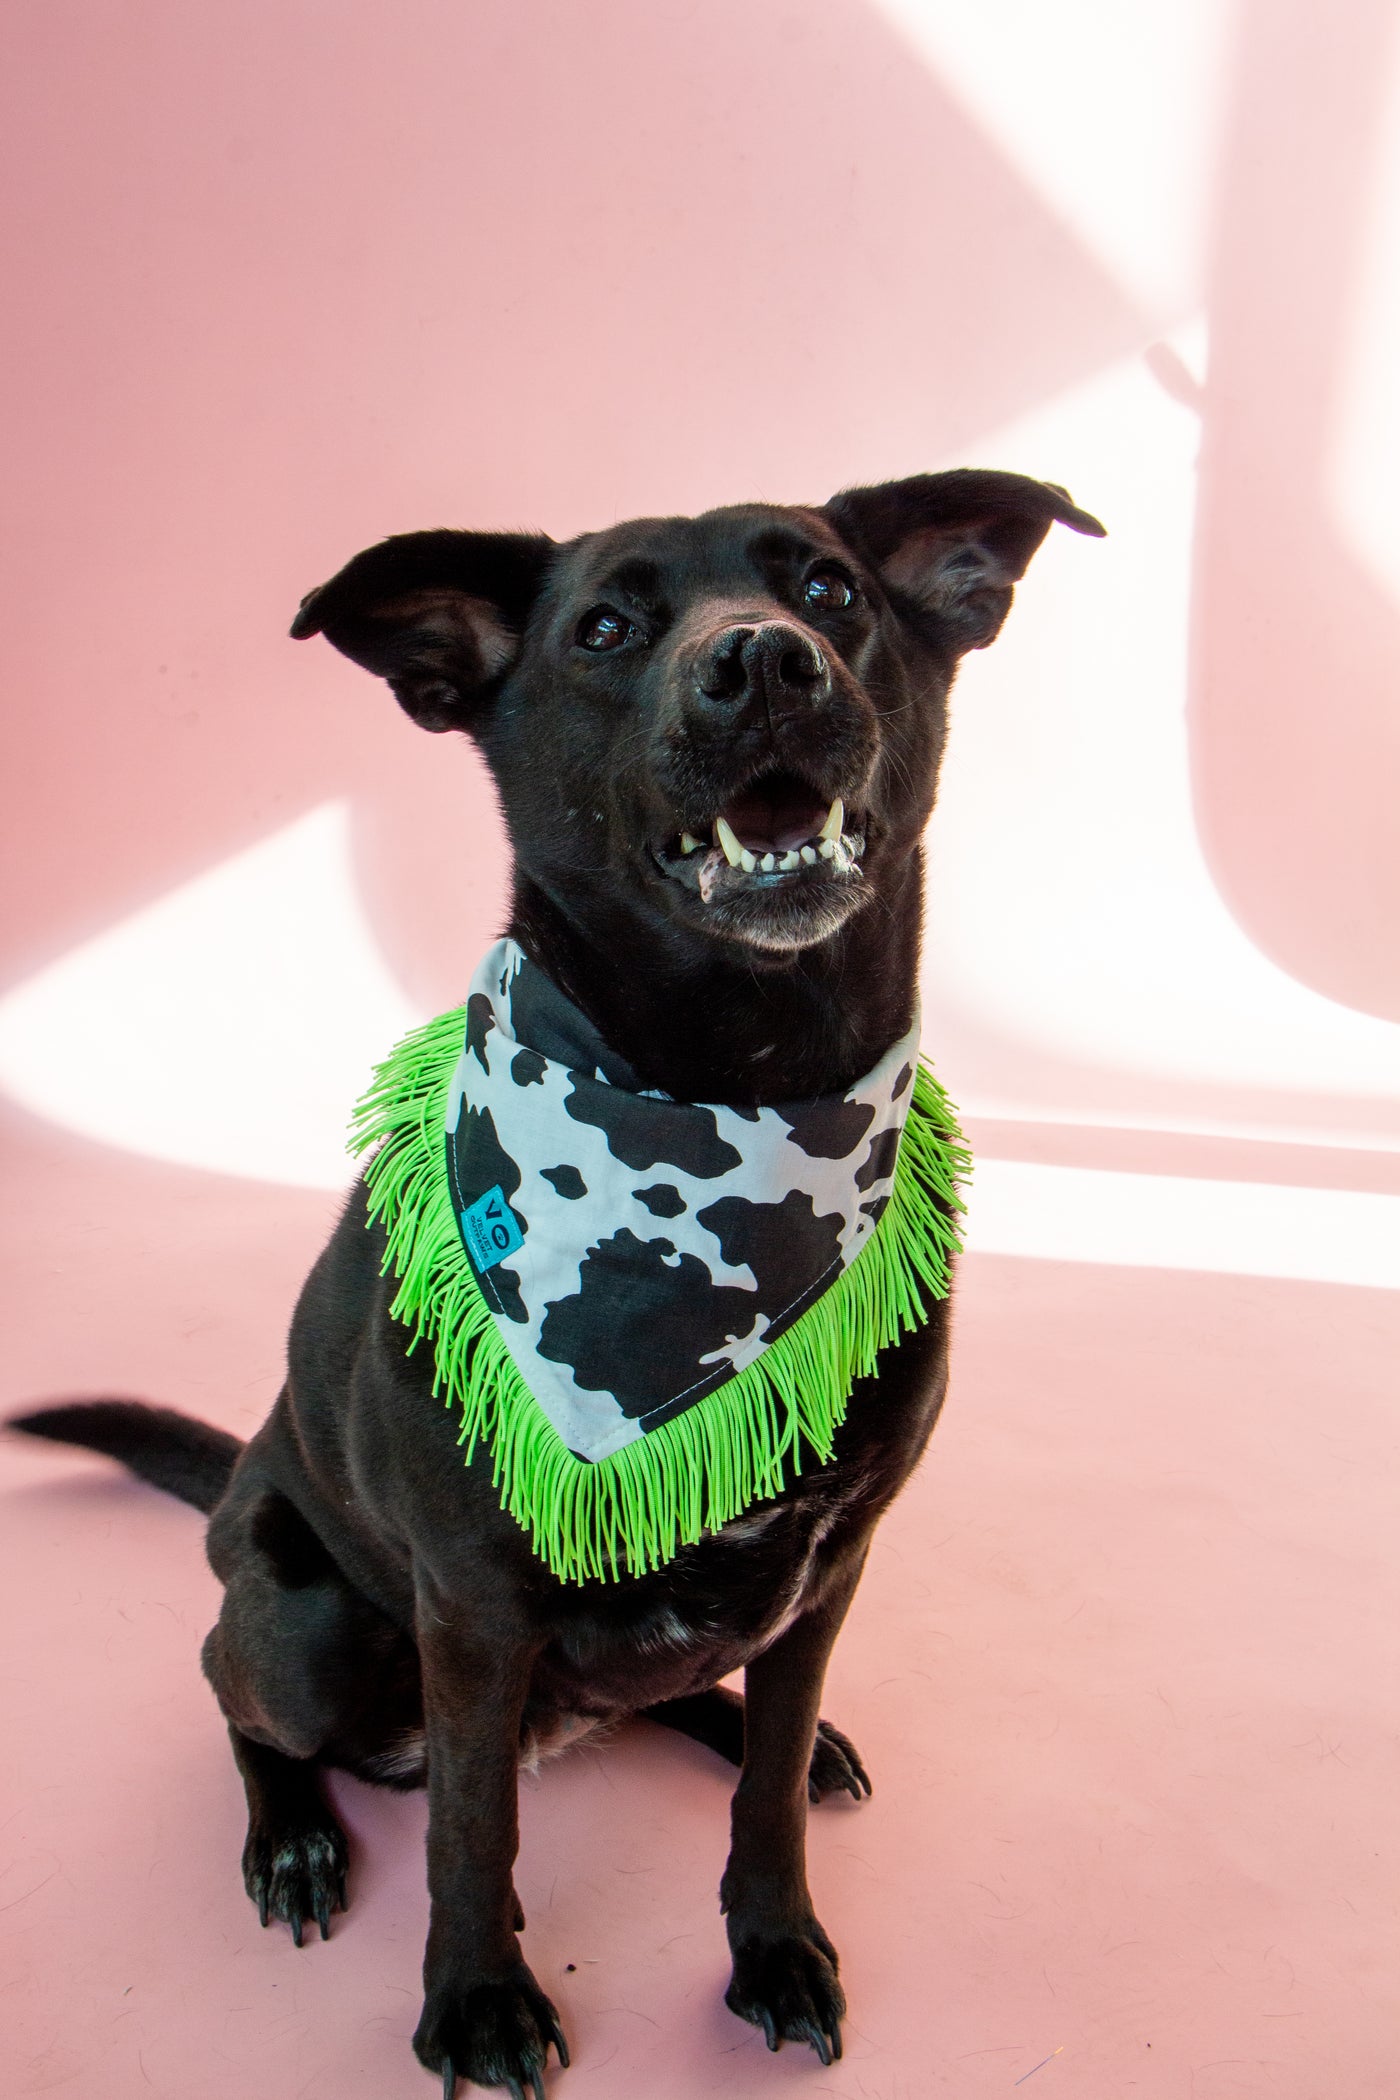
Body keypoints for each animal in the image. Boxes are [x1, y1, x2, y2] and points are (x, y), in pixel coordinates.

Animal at [13, 468, 1108, 2091]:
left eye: (832, 590)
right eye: (602, 629)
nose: (765, 661)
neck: (734, 1088)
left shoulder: (834, 1565)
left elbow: (762, 1796)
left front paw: (777, 1944)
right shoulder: (472, 1606)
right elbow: (474, 1831)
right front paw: (476, 2001)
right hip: (310, 1627)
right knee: (237, 1693)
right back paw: (291, 1839)